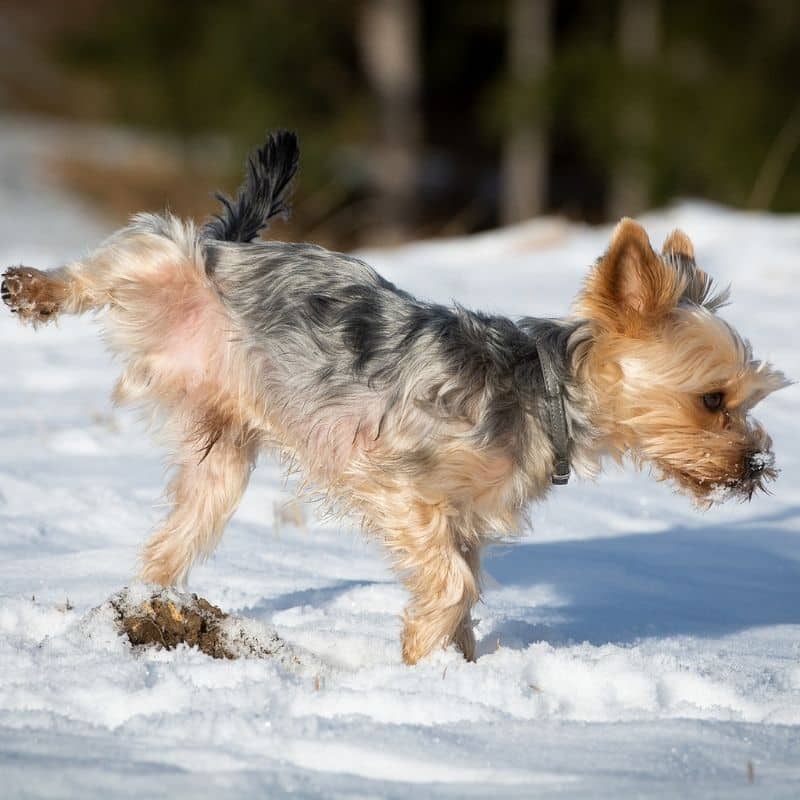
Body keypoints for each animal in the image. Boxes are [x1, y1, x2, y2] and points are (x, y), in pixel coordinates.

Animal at [1, 131, 788, 664]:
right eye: (713, 399)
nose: (756, 467)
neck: (548, 395)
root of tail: (237, 244)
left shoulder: (465, 520)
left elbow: (463, 587)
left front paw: (454, 674)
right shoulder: (399, 483)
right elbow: (453, 584)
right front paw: (420, 653)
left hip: (221, 458)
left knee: (176, 535)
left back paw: (148, 605)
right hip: (169, 260)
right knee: (123, 254)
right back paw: (35, 288)